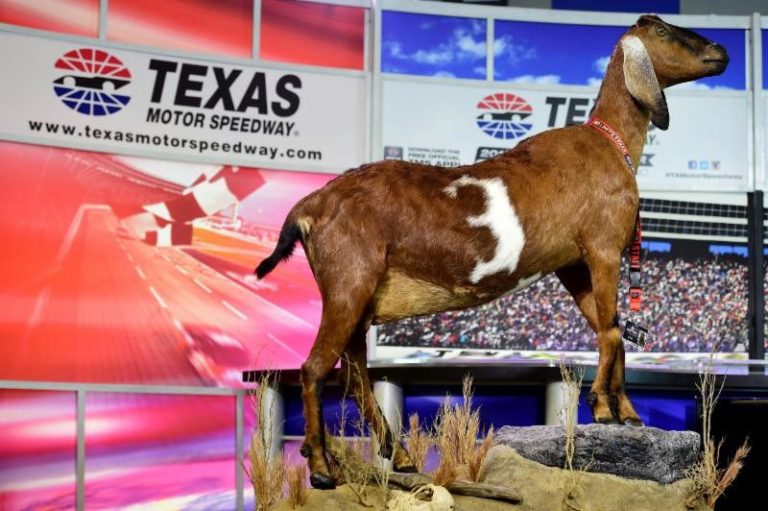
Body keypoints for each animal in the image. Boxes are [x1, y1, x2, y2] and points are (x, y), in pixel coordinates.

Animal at [255, 15, 728, 489]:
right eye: (663, 32)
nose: (720, 51)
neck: (610, 143)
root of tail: (308, 206)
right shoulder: (603, 247)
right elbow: (613, 332)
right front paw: (601, 407)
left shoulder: (573, 264)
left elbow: (609, 331)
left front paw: (627, 415)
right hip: (348, 285)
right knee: (314, 369)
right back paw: (321, 468)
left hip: (359, 299)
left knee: (354, 375)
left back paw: (401, 457)